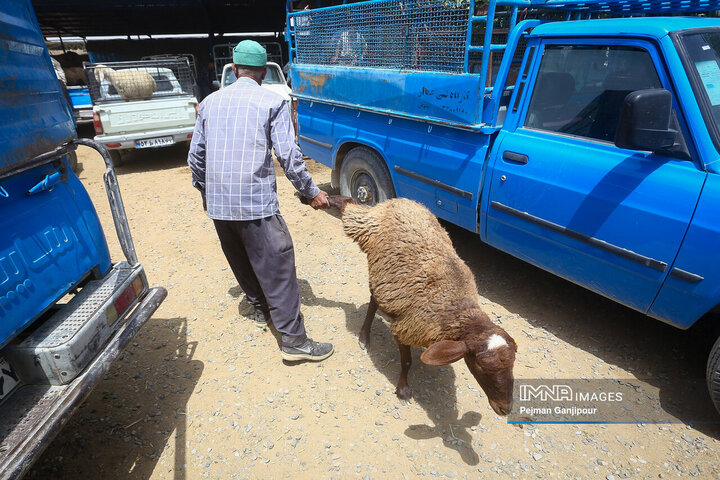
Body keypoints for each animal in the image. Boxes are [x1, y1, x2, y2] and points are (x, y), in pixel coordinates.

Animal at [326, 195, 516, 416]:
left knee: (375, 298)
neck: (457, 309)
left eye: (512, 365)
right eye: (481, 366)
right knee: (350, 210)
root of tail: (400, 200)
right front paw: (403, 391)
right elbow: (407, 362)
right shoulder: (406, 328)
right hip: (367, 232)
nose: (505, 409)